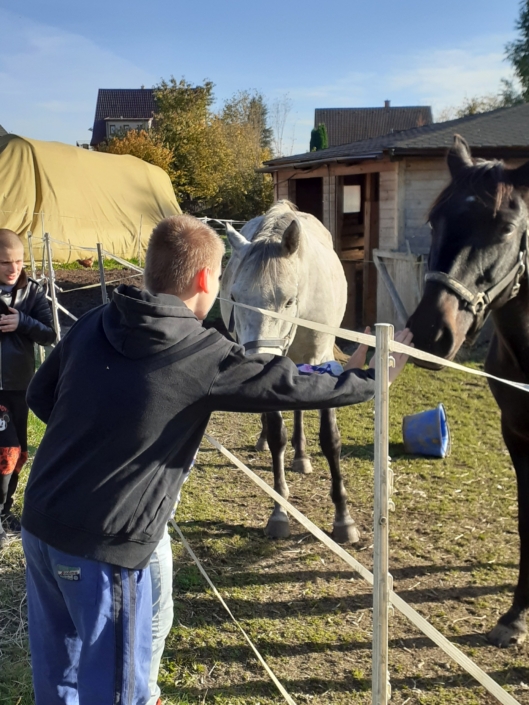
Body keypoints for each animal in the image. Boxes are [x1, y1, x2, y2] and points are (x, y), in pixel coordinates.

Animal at [219, 201, 358, 540]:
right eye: (235, 297)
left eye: (288, 301)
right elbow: (276, 436)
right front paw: (279, 511)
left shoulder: (320, 361)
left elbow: (330, 439)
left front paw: (343, 518)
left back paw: (302, 456)